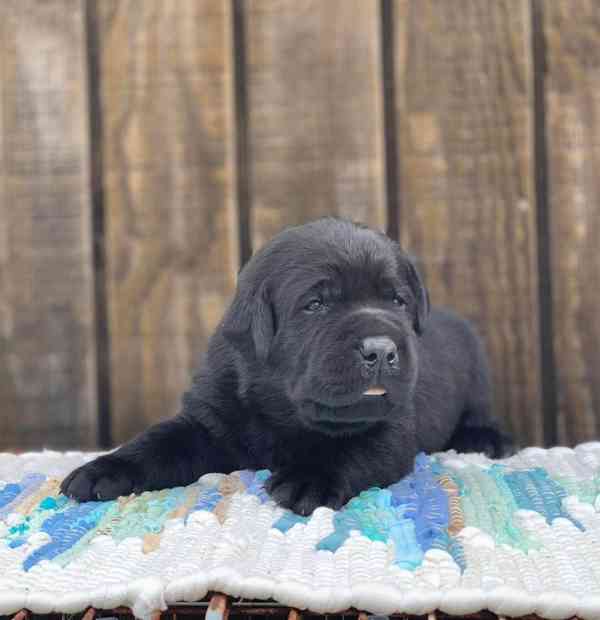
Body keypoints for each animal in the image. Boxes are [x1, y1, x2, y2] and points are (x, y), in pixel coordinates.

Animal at [61, 217, 508, 512]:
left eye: (397, 300)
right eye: (316, 304)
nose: (381, 350)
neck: (283, 408)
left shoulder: (390, 426)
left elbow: (350, 449)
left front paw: (308, 478)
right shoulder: (208, 419)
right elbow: (158, 442)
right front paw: (104, 469)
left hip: (477, 375)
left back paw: (484, 438)